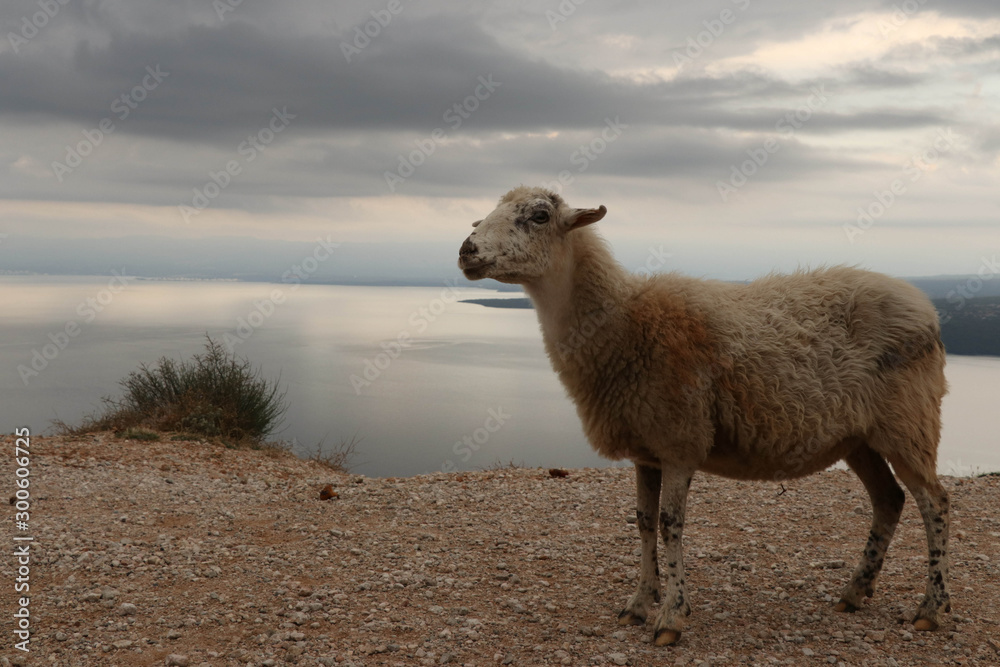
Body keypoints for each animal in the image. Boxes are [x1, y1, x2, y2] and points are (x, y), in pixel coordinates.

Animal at [457, 185, 951, 646]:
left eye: (539, 216)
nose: (466, 251)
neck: (626, 321)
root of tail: (925, 307)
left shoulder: (680, 442)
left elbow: (670, 525)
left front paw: (672, 617)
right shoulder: (646, 450)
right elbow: (642, 521)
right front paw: (639, 603)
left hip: (909, 423)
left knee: (935, 503)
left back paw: (931, 608)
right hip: (859, 438)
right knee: (889, 500)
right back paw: (854, 592)